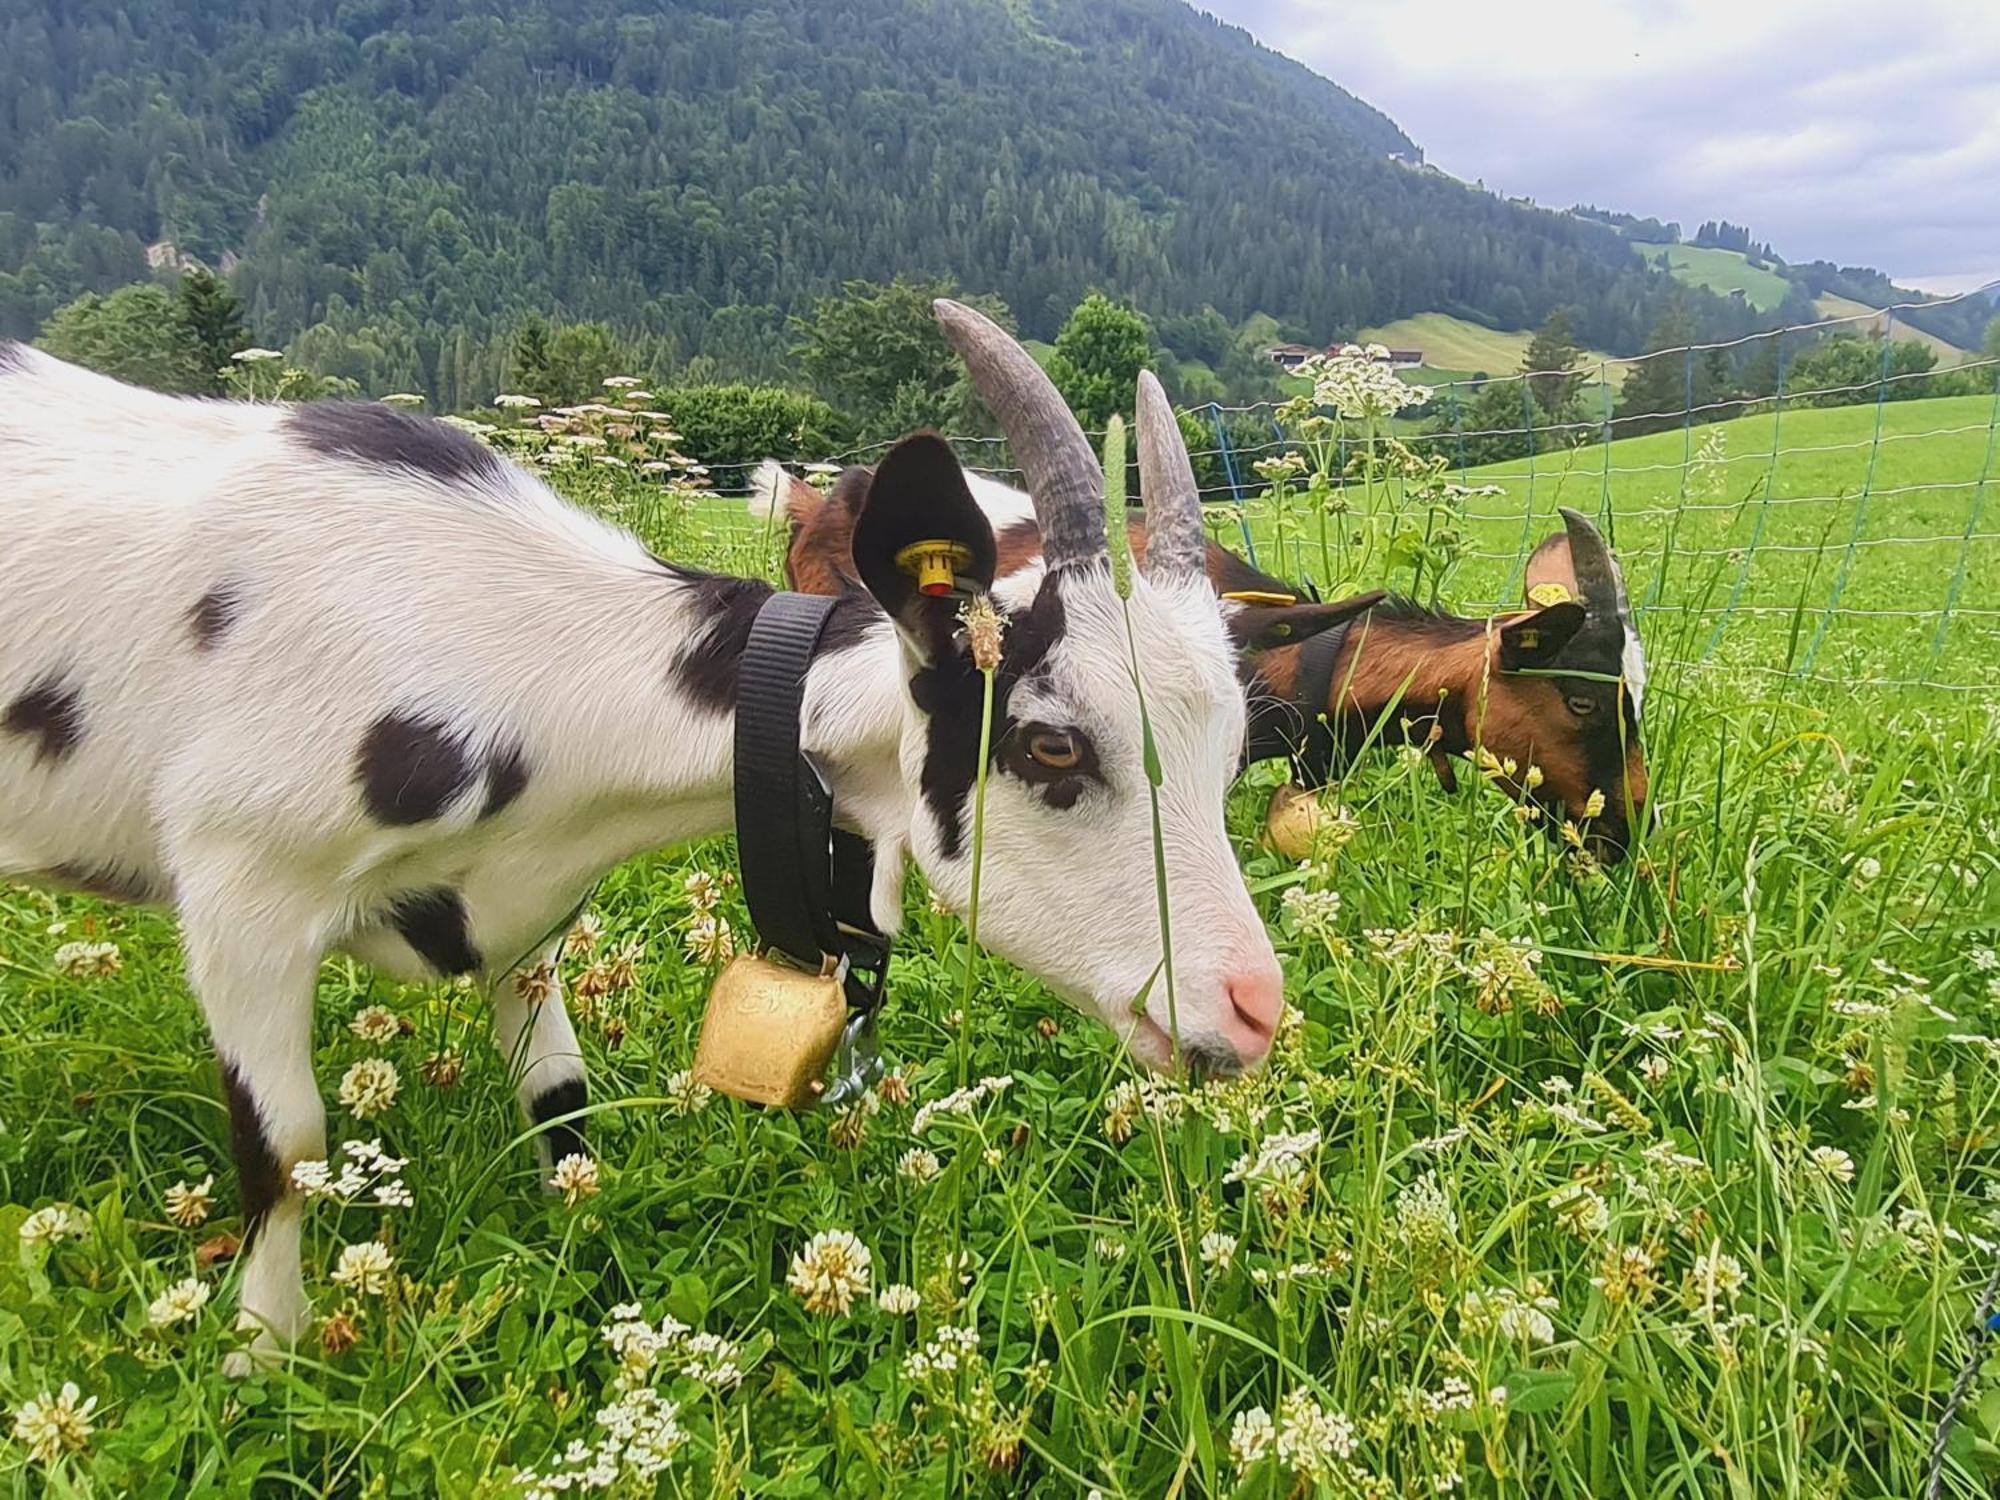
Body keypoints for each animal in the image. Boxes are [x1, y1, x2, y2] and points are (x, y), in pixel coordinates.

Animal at [0, 306, 1320, 1360]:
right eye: (1049, 747)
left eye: (1231, 756)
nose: (1253, 1008)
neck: (474, 628)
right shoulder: (241, 891)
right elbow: (286, 1144)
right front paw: (261, 1362)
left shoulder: (526, 914)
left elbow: (559, 1101)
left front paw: (580, 1256)